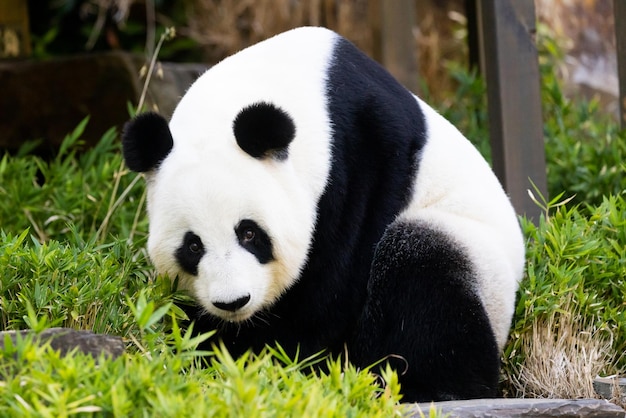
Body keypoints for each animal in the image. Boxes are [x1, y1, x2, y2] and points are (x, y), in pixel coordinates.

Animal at [120, 26, 520, 402]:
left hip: (480, 266)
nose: (232, 302)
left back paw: (434, 388)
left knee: (424, 270)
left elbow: (328, 290)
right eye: (192, 246)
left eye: (249, 233)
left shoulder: (361, 159)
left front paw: (264, 355)